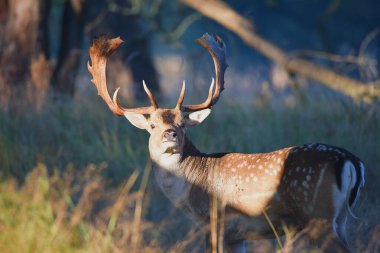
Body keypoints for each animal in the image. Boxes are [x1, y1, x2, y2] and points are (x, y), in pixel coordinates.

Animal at [87, 33, 364, 253]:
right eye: (152, 125)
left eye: (182, 123)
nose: (170, 134)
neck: (189, 194)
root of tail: (351, 161)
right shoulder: (236, 236)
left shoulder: (213, 222)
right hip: (340, 219)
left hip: (317, 214)